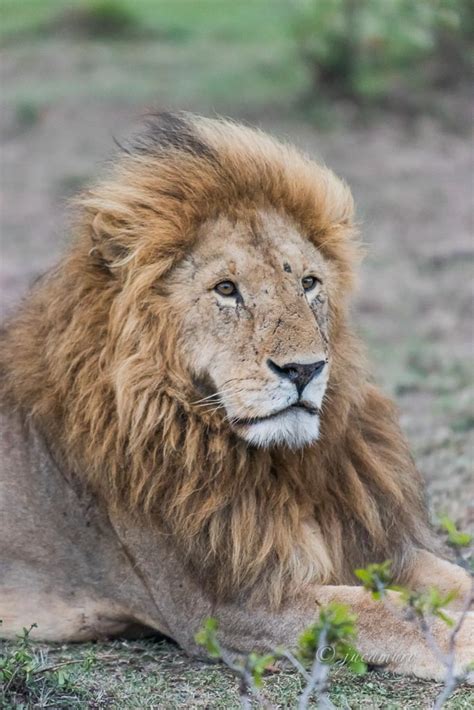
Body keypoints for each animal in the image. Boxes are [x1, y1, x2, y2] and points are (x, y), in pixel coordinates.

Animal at [0, 112, 472, 684]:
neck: (279, 466)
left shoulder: (369, 541)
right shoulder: (230, 606)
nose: (304, 369)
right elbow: (379, 611)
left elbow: (451, 578)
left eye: (309, 282)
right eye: (226, 290)